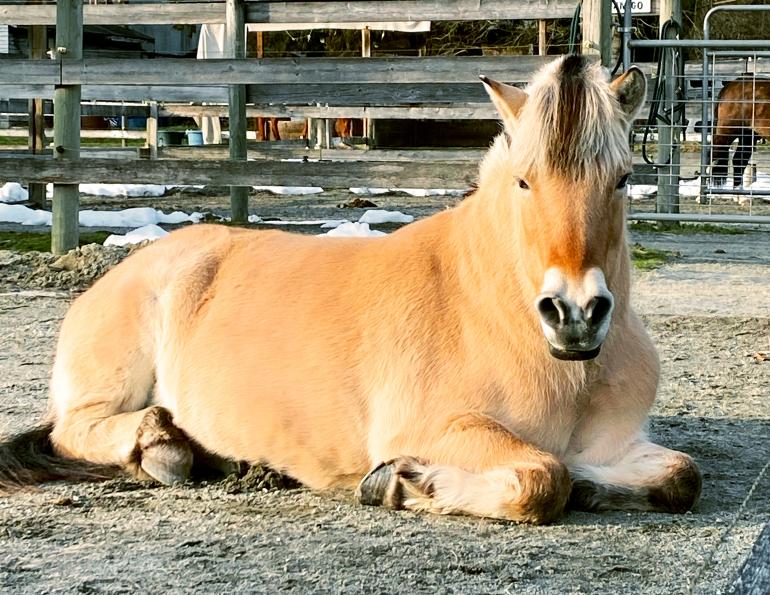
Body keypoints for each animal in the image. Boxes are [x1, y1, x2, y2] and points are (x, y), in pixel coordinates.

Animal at [0, 56, 701, 524]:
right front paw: (402, 484)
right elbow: (543, 478)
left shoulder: (616, 443)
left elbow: (680, 477)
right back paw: (165, 447)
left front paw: (596, 486)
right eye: (524, 181)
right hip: (111, 386)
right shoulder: (438, 429)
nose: (574, 314)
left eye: (623, 177)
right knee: (76, 429)